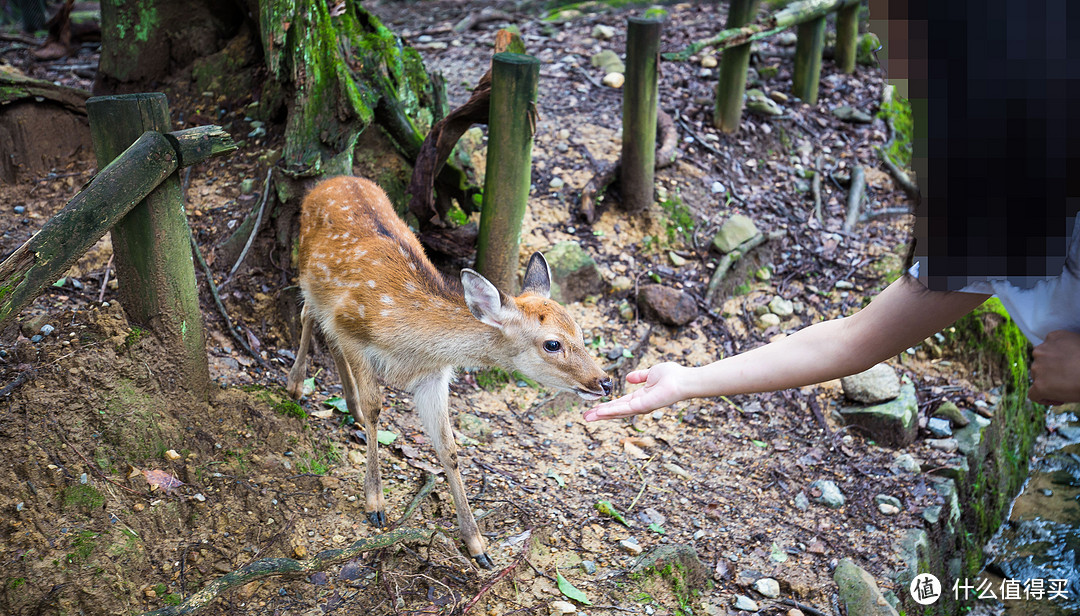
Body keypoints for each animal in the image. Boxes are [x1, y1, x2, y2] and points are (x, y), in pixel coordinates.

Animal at [282, 175, 613, 566]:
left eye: (581, 331)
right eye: (552, 344)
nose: (605, 381)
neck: (410, 343)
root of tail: (329, 180)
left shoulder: (434, 376)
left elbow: (448, 448)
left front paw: (477, 545)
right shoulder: (354, 332)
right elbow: (376, 408)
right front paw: (375, 504)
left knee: (325, 334)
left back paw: (348, 405)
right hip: (307, 272)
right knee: (307, 314)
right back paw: (297, 385)